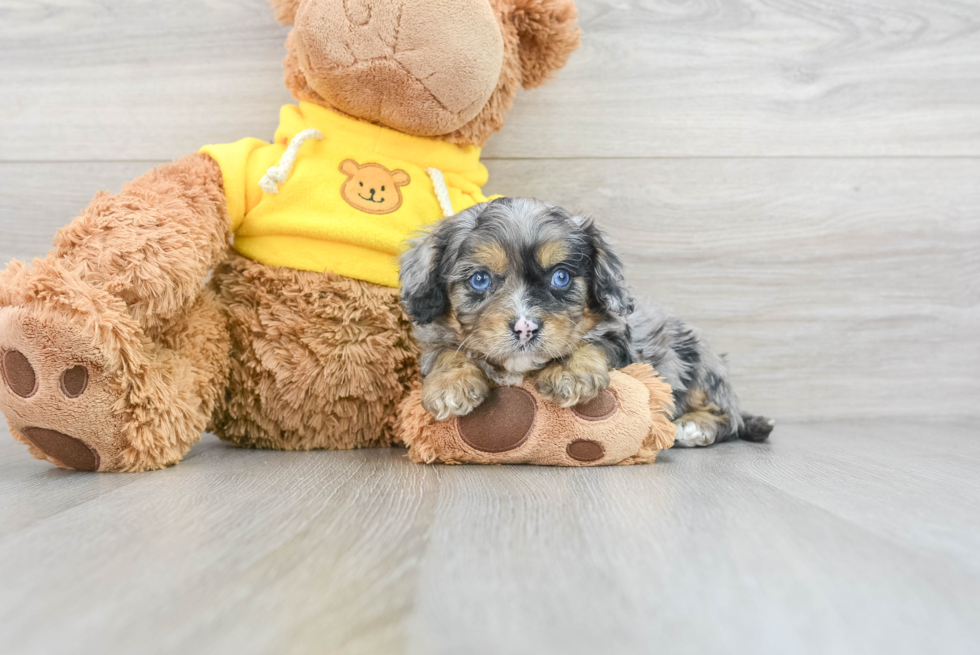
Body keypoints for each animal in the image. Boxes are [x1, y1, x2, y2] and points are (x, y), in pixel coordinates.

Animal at [398, 197, 772, 448]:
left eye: (561, 276)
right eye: (479, 279)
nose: (525, 328)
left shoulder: (621, 341)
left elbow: (590, 340)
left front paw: (570, 372)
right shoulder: (437, 340)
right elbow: (447, 351)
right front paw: (451, 384)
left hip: (697, 361)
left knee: (728, 415)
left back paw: (695, 427)